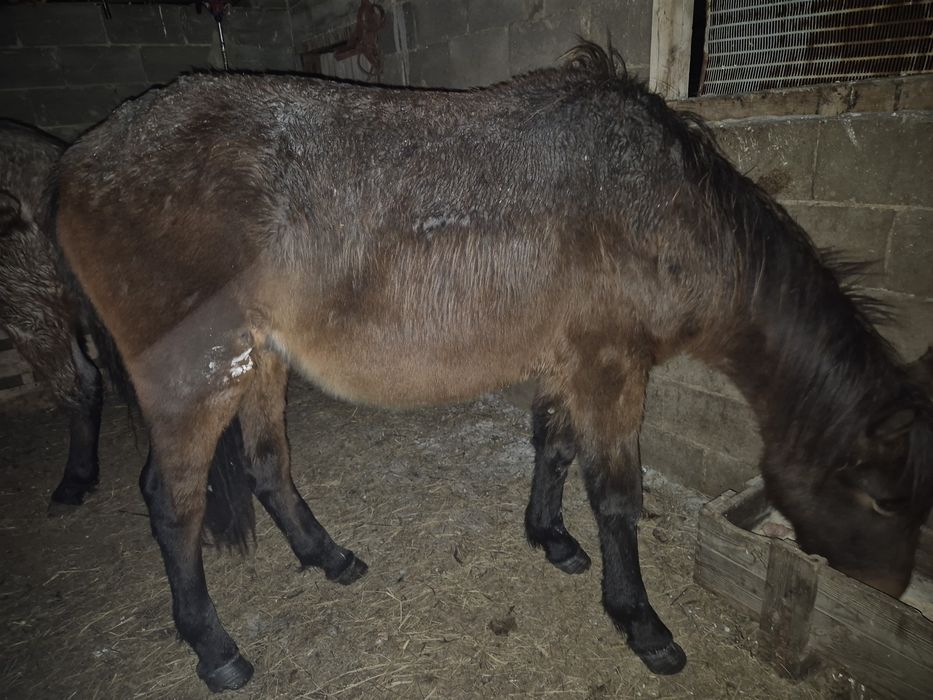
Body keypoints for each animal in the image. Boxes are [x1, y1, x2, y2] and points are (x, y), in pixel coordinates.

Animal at [51, 44, 933, 691]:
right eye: (885, 502)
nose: (885, 593)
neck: (667, 209)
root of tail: (83, 158)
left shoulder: (570, 362)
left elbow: (552, 446)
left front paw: (550, 538)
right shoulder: (612, 368)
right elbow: (616, 495)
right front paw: (640, 622)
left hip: (260, 362)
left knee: (269, 466)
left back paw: (328, 558)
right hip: (199, 379)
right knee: (173, 505)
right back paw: (217, 650)